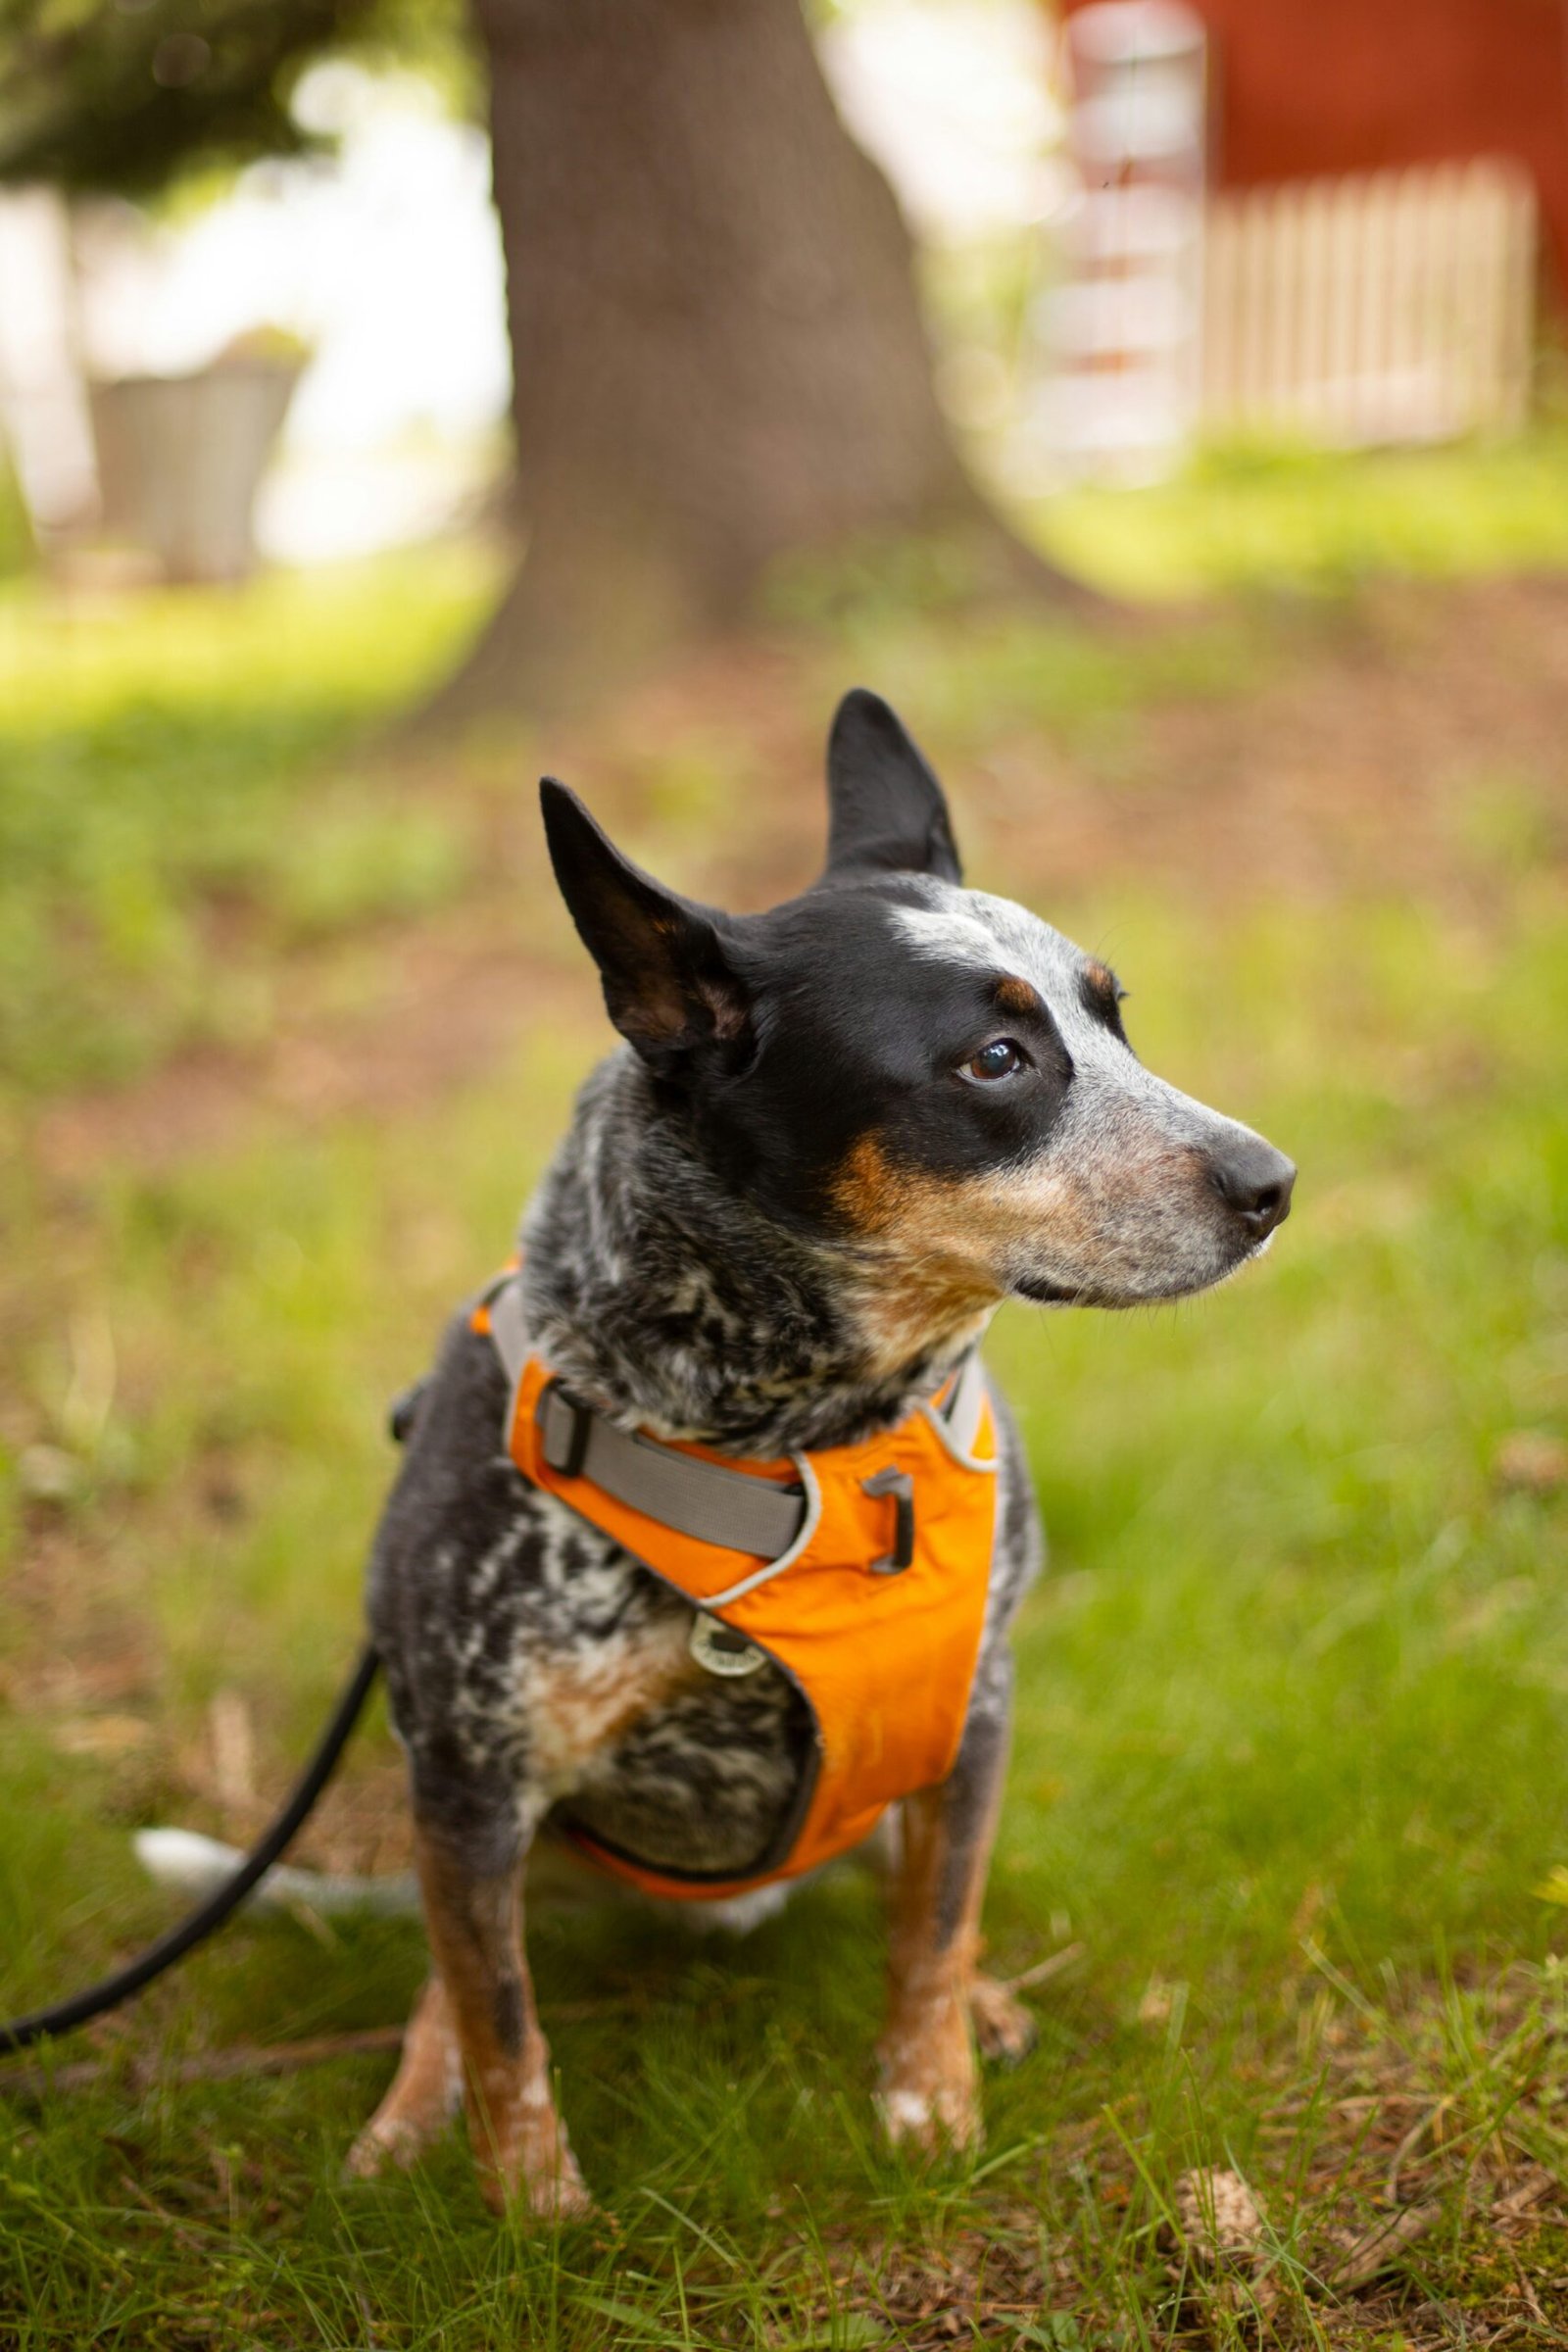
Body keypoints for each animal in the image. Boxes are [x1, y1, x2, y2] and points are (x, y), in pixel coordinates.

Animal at [350, 686, 1298, 2211]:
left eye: (1114, 1014)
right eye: (996, 1059)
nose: (1274, 1184)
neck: (808, 1440)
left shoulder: (973, 1712)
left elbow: (936, 1924)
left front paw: (930, 2097)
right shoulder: (473, 1774)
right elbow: (500, 2026)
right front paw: (529, 2210)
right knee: (453, 1974)